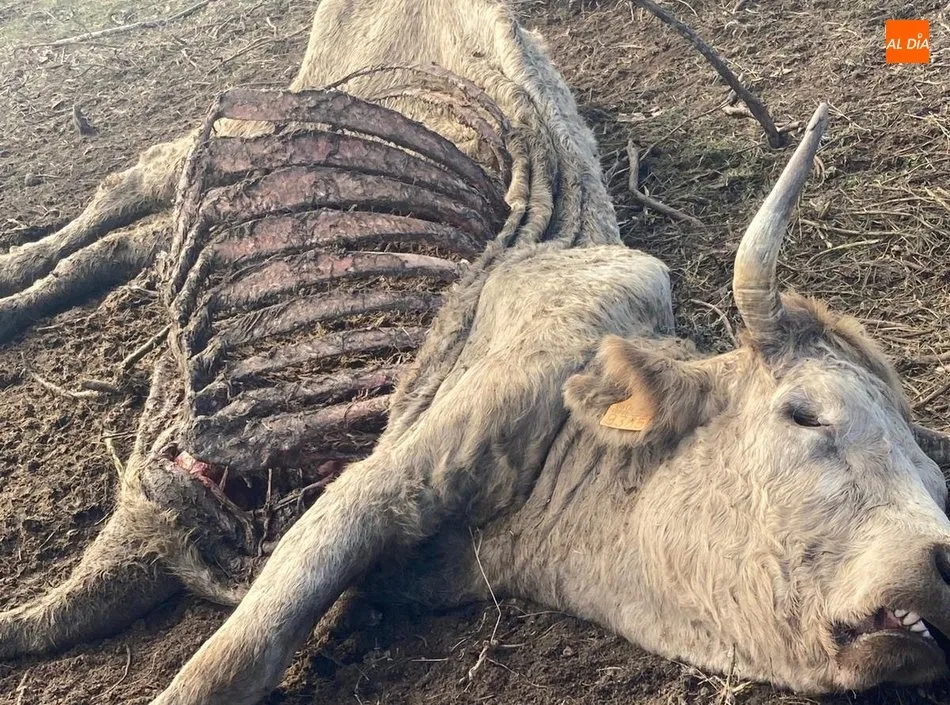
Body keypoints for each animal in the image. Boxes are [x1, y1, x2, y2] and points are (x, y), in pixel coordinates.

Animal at [2, 0, 950, 704]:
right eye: (806, 414)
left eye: (936, 480)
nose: (942, 559)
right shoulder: (374, 483)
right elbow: (219, 663)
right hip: (217, 136)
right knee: (112, 202)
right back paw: (16, 274)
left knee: (130, 244)